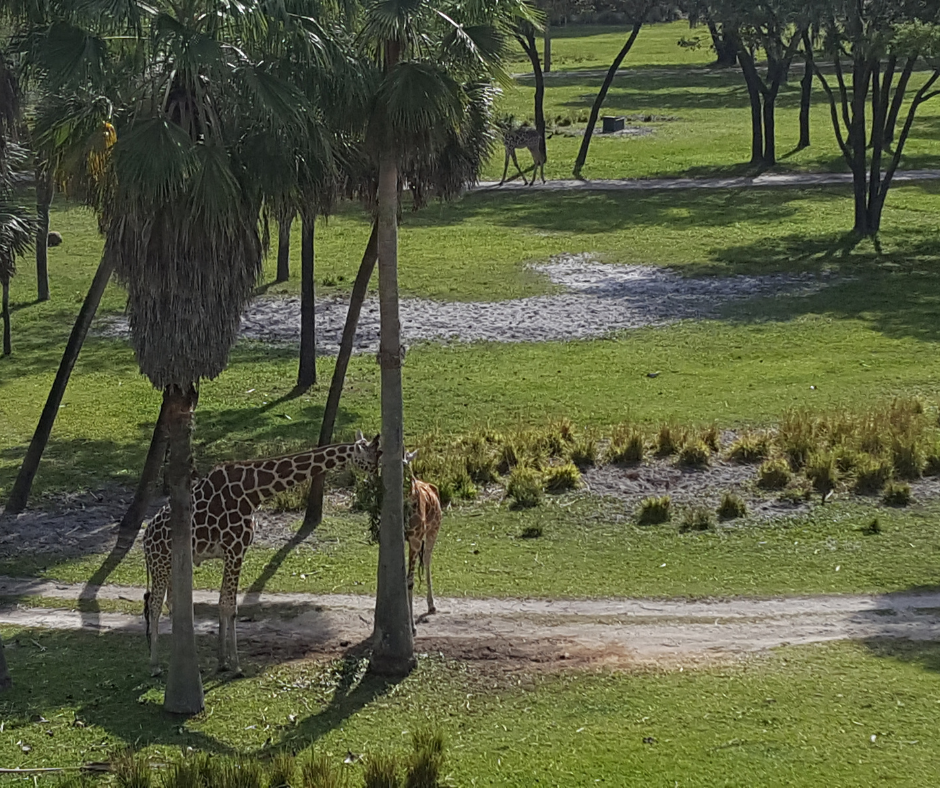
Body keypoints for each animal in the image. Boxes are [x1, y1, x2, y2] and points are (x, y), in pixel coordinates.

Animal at [143, 431, 381, 676]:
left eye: (378, 455)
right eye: (371, 459)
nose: (377, 479)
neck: (253, 492)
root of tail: (145, 539)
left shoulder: (233, 552)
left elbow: (222, 602)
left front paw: (223, 661)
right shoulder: (235, 549)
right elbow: (230, 606)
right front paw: (236, 666)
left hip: (174, 565)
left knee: (171, 603)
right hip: (160, 563)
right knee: (154, 605)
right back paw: (154, 665)